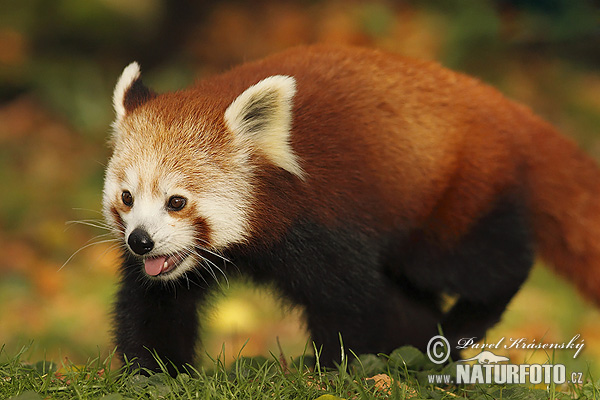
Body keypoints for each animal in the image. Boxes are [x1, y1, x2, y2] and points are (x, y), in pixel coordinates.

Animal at [103, 45, 600, 374]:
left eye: (177, 201)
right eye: (127, 198)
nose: (140, 240)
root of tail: (500, 105)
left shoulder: (326, 218)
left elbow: (350, 302)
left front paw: (339, 368)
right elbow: (153, 304)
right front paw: (155, 373)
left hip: (453, 198)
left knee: (487, 265)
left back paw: (458, 327)